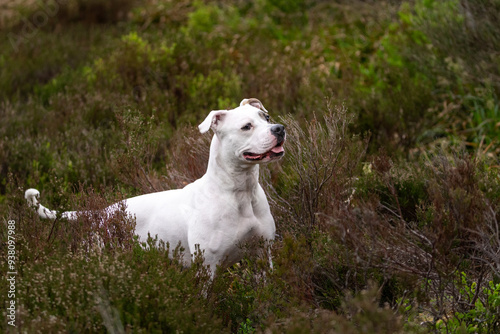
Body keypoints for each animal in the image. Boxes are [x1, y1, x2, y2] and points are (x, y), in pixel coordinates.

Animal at [25, 98, 286, 272]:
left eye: (266, 118)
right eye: (246, 126)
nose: (279, 129)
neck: (240, 192)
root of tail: (101, 213)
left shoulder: (263, 256)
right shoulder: (207, 267)